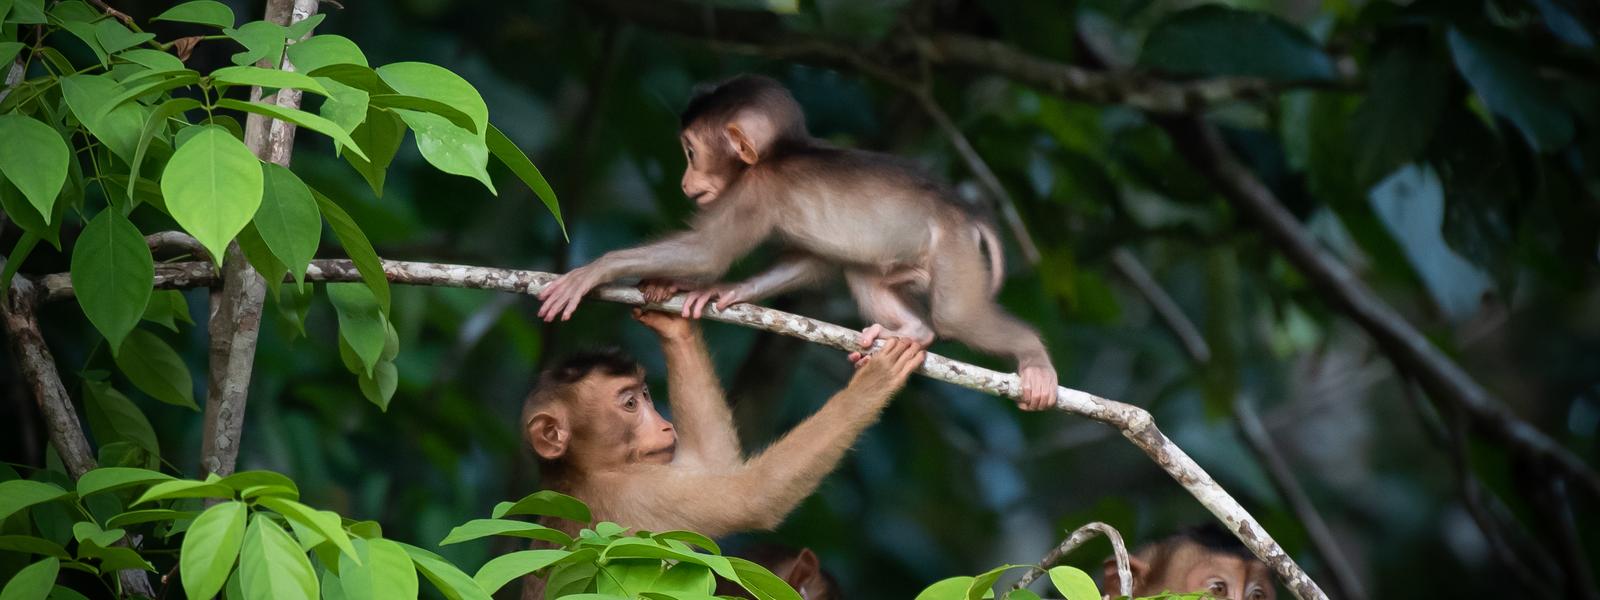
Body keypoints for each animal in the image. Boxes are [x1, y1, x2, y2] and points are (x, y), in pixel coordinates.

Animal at [519, 307, 923, 597]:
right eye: (631, 404)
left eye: (646, 395)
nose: (664, 426)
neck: (578, 472)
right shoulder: (636, 494)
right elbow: (752, 496)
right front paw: (873, 383)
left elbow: (714, 461)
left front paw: (673, 325)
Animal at [537, 74, 1059, 410]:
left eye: (689, 152)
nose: (686, 181)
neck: (778, 153)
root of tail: (966, 211)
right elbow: (813, 260)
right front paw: (716, 291)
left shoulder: (754, 191)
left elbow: (708, 253)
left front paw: (593, 272)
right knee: (866, 273)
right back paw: (911, 333)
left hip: (952, 248)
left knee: (956, 315)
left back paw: (1033, 358)